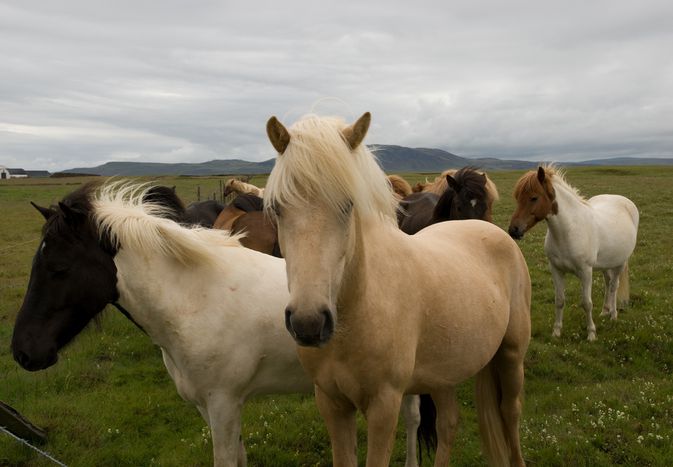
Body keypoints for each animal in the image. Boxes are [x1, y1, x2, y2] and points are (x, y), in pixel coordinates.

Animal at [506, 166, 636, 342]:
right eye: (518, 197)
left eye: (533, 198)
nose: (514, 230)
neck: (569, 231)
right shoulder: (556, 270)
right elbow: (559, 300)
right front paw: (556, 332)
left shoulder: (586, 272)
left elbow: (586, 303)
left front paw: (591, 333)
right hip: (605, 264)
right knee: (608, 283)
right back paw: (605, 311)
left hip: (619, 263)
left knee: (614, 286)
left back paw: (614, 315)